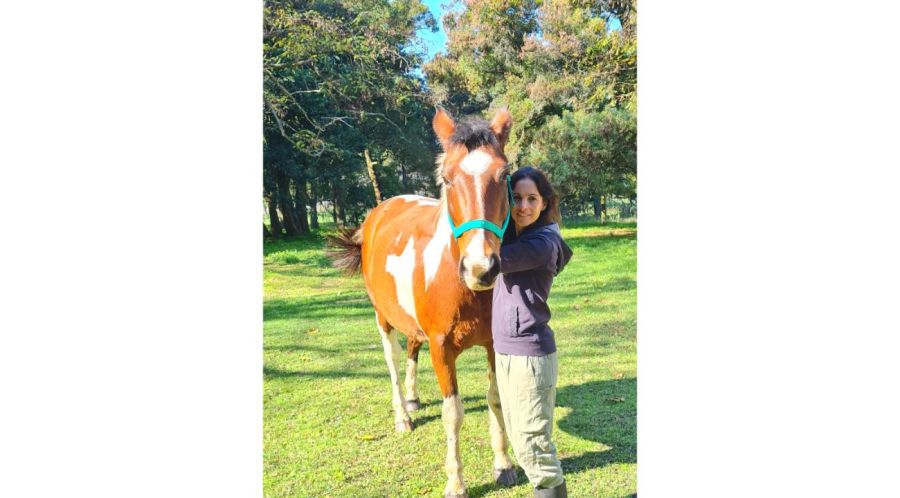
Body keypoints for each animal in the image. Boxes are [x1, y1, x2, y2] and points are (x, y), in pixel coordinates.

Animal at [328, 108, 517, 498]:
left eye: (504, 174)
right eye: (447, 178)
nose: (482, 268)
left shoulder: (494, 344)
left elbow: (495, 398)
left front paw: (504, 465)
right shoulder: (442, 349)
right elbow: (452, 413)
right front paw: (456, 482)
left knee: (413, 347)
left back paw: (413, 399)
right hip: (383, 319)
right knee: (394, 360)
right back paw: (403, 414)